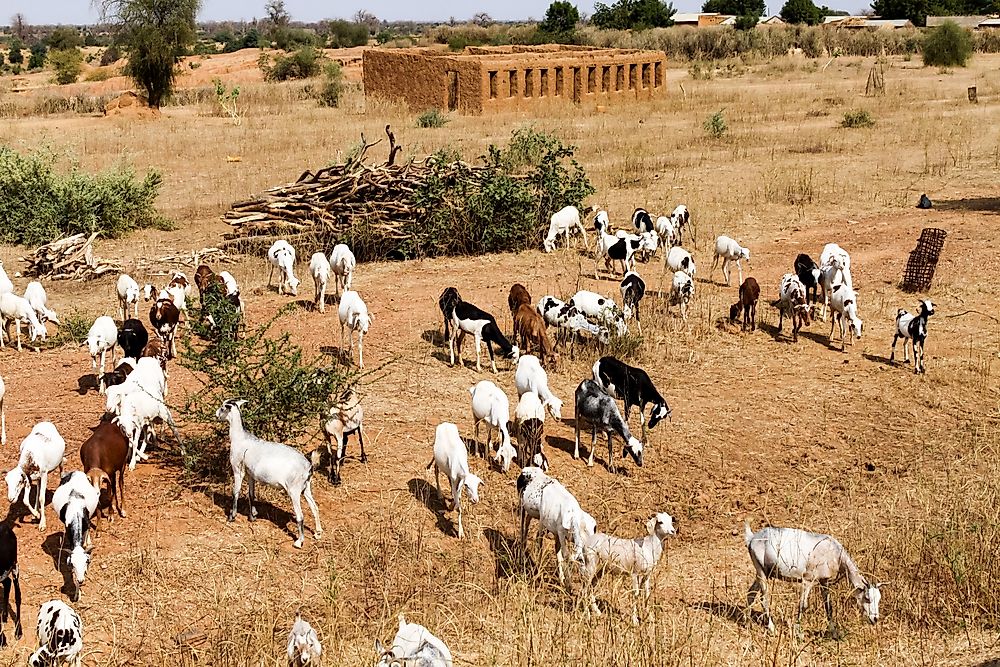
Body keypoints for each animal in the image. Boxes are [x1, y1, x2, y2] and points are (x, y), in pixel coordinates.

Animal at [52, 470, 99, 604]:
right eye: (72, 564)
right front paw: (76, 595)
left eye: (86, 562)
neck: (76, 512)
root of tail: (75, 472)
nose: (81, 580)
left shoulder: (86, 524)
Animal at [216, 402, 322, 548]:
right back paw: (318, 533)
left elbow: (235, 492)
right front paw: (252, 517)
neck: (241, 438)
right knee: (315, 508)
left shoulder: (238, 470)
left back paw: (299, 542)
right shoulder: (251, 475)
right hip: (306, 488)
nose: (216, 414)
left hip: (294, 491)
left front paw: (232, 516)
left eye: (222, 408)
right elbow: (251, 494)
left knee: (300, 516)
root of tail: (308, 467)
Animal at [744, 520, 884, 636]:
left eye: (878, 599)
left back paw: (746, 622)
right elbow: (803, 605)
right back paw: (772, 628)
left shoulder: (824, 581)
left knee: (750, 593)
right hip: (761, 571)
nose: (875, 619)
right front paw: (798, 633)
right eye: (867, 598)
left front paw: (834, 633)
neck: (833, 552)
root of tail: (752, 538)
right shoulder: (808, 580)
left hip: (763, 573)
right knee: (764, 599)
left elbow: (828, 607)